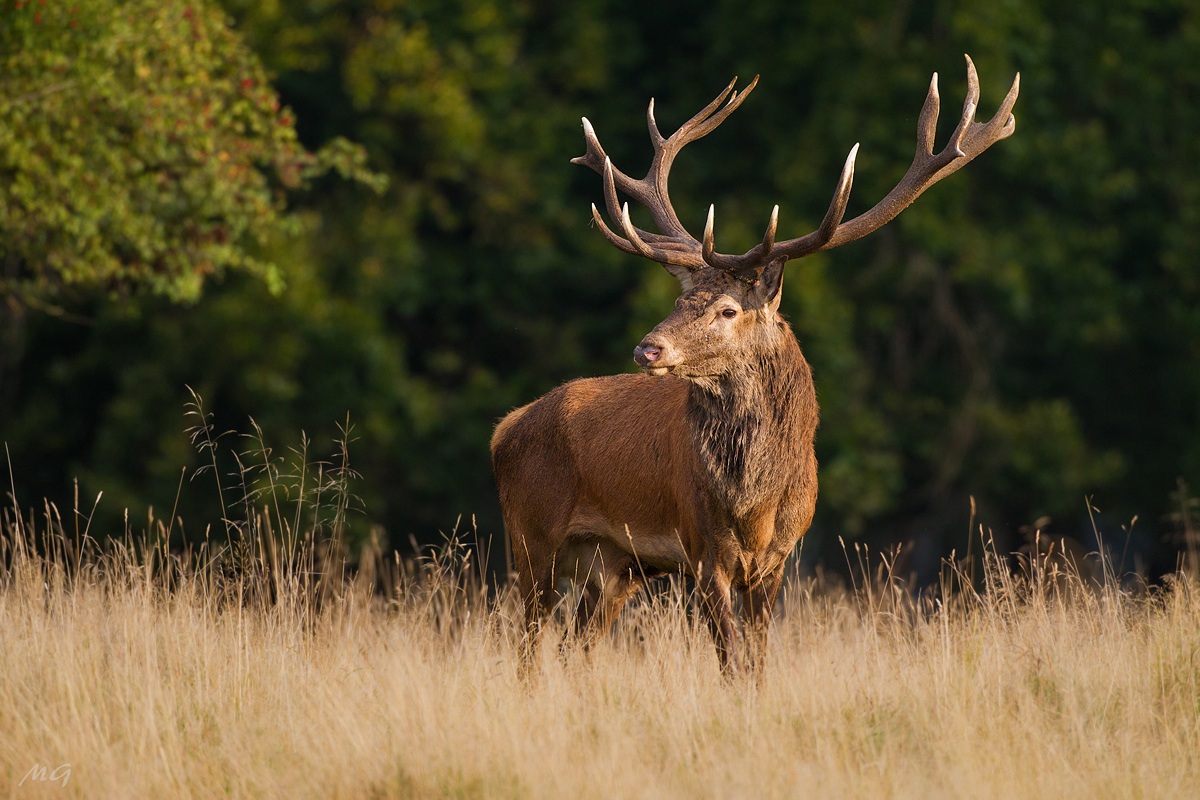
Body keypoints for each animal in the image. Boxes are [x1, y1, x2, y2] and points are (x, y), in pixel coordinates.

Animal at [492, 55, 1019, 678]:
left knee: (574, 649)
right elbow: (732, 663)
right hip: (531, 539)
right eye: (680, 301)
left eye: (727, 308)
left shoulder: (777, 561)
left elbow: (757, 663)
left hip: (615, 567)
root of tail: (505, 427)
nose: (648, 349)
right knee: (526, 650)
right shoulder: (702, 551)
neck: (754, 504)